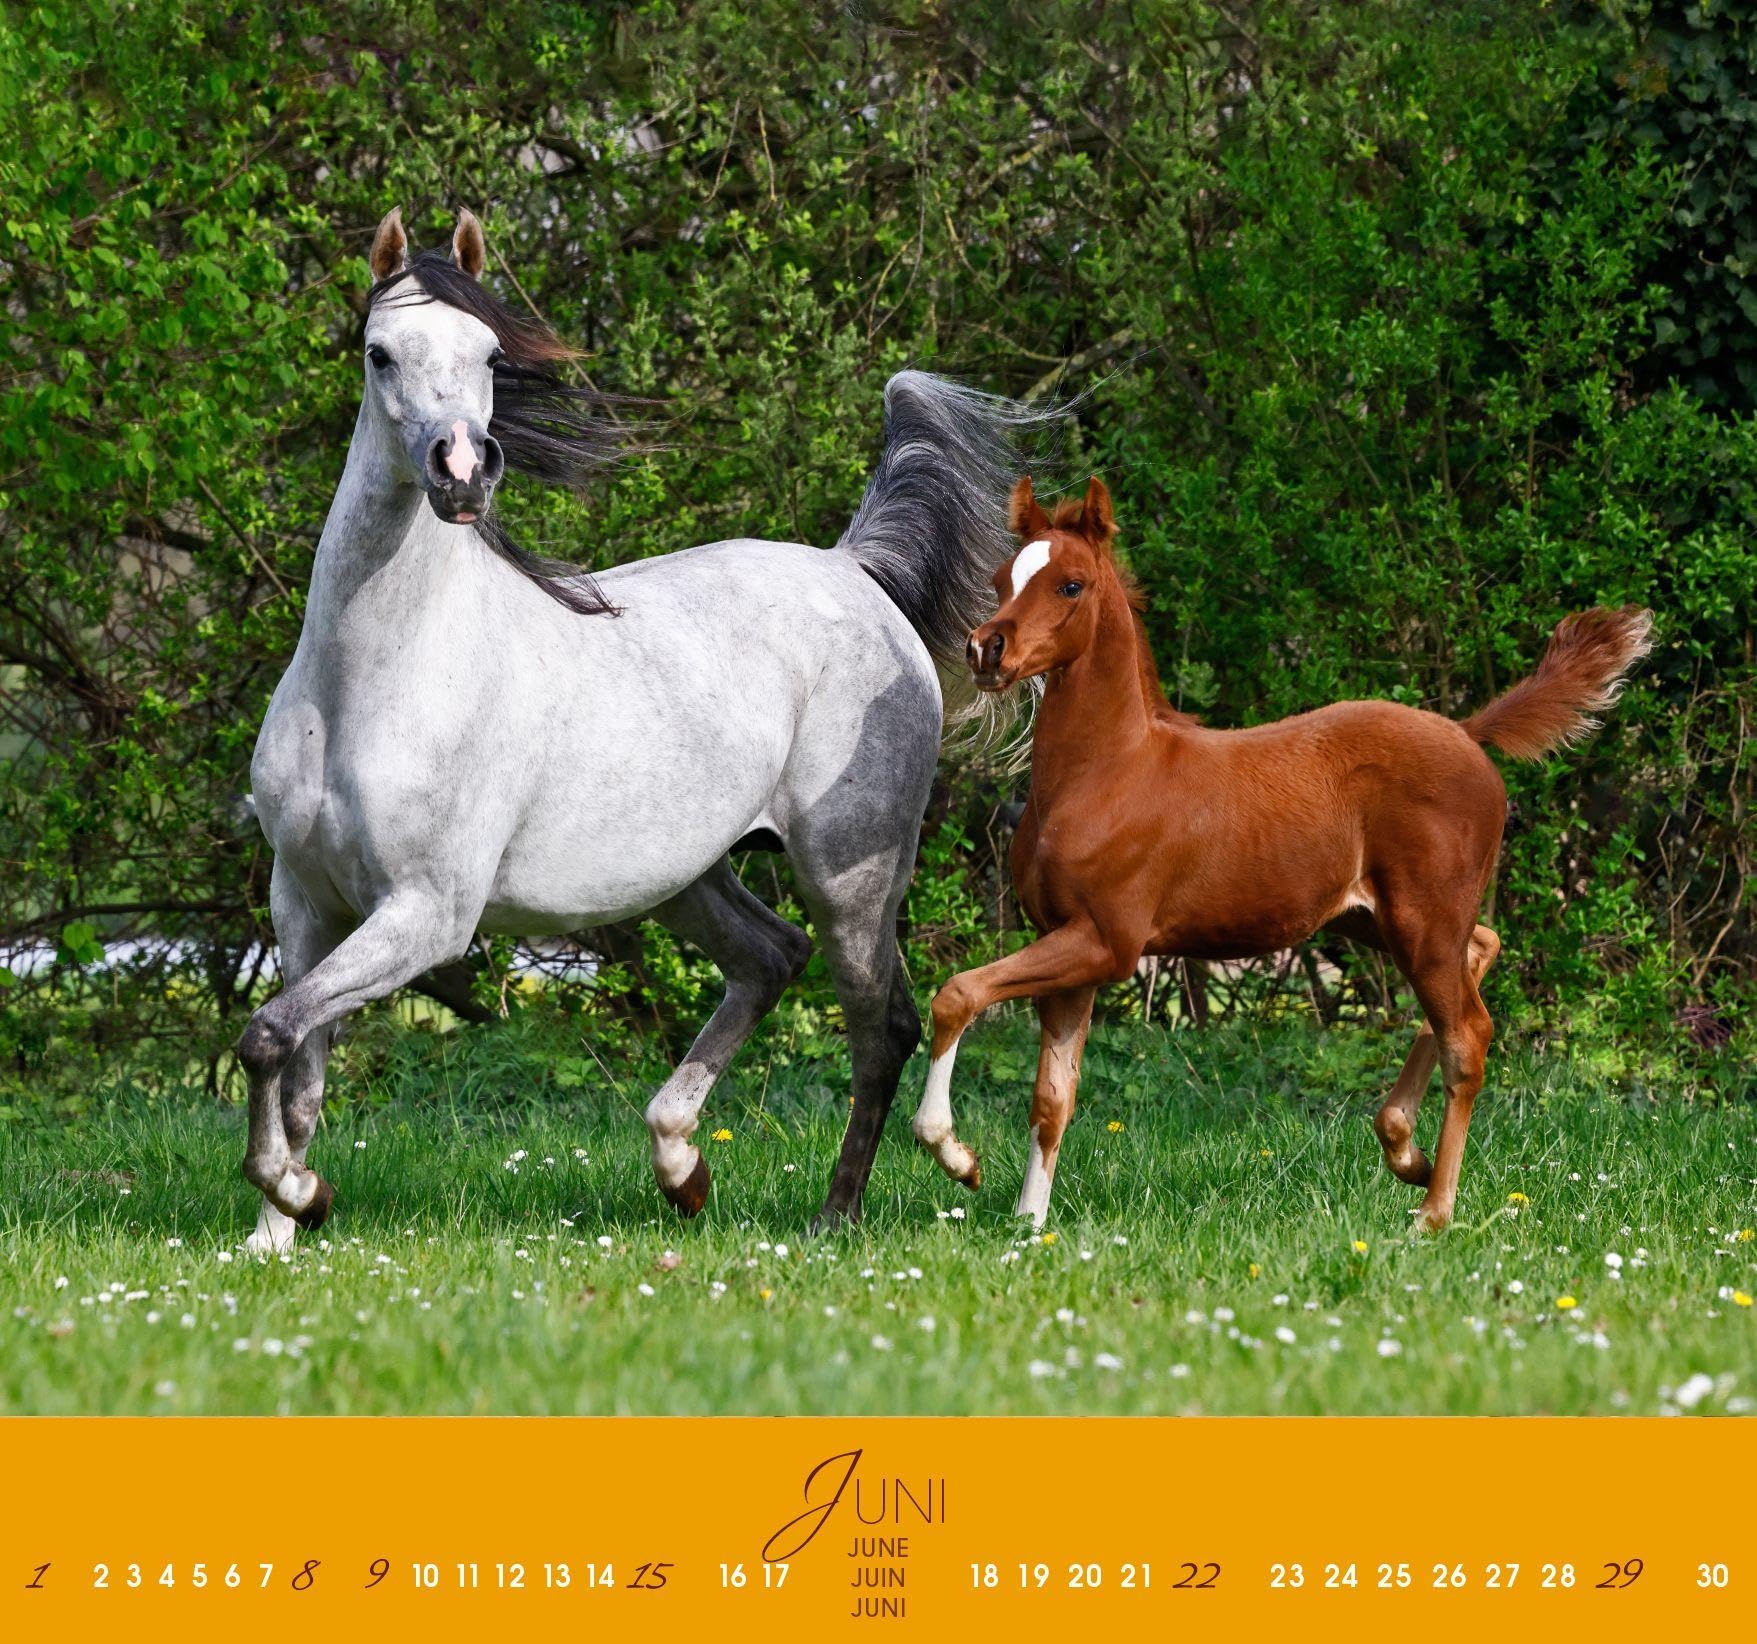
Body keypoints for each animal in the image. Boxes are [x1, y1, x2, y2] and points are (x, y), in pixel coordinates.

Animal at [236, 207, 1044, 1251]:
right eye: (379, 353)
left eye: (490, 353)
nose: (462, 471)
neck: (368, 687)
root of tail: (851, 569)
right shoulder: (305, 903)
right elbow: (291, 1063)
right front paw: (277, 1232)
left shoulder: (425, 916)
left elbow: (267, 1034)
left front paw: (300, 1197)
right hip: (683, 876)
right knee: (768, 958)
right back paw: (681, 1168)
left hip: (851, 873)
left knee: (881, 1026)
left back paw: (837, 1214)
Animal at [912, 474, 1653, 1234]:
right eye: (1002, 579)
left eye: (1070, 584)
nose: (986, 649)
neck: (1108, 772)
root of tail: (1468, 734)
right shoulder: (1069, 952)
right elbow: (1051, 1097)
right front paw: (1028, 1226)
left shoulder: (1105, 942)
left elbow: (957, 994)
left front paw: (954, 1155)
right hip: (1381, 921)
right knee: (1480, 951)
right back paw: (1404, 1150)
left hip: (1420, 920)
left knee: (1469, 1035)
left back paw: (1432, 1210)